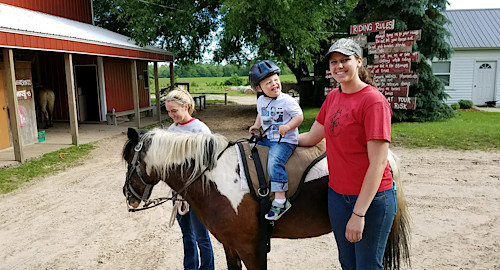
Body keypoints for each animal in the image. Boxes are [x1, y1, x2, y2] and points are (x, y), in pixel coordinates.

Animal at [122, 128, 410, 270]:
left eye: (127, 160)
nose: (128, 195)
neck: (217, 178)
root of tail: (387, 159)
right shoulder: (230, 246)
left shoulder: (252, 249)